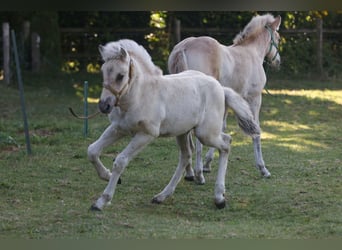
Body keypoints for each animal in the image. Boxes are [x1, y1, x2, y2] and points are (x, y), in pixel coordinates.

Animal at [86, 39, 260, 211]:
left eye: (120, 76)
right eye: (103, 71)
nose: (104, 106)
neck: (141, 95)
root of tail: (221, 88)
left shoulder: (146, 135)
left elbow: (120, 161)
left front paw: (102, 201)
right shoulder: (118, 128)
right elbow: (92, 150)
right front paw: (107, 176)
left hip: (205, 133)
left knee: (226, 143)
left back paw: (219, 198)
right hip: (183, 132)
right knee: (186, 155)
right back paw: (162, 196)